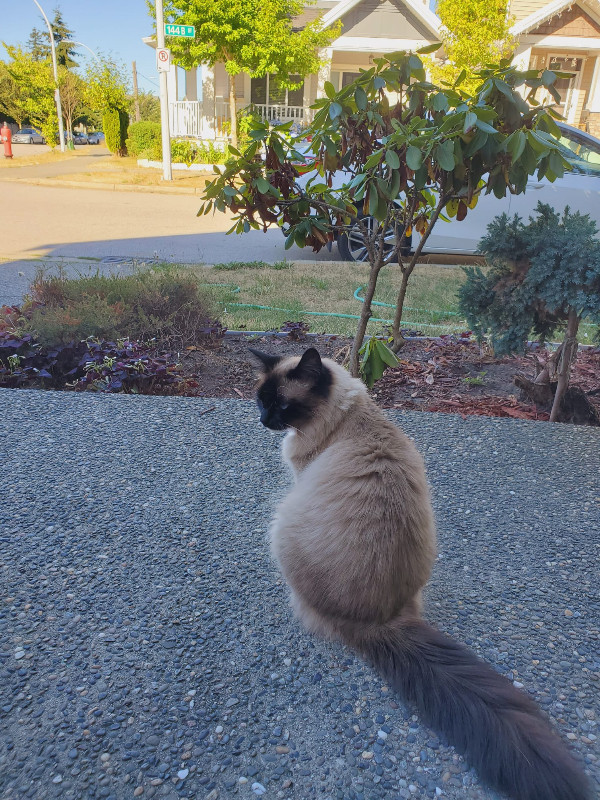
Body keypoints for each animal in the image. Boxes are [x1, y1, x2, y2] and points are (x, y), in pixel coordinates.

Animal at [248, 346, 592, 800]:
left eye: (282, 406)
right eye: (261, 401)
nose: (264, 421)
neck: (351, 417)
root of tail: (384, 621)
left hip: (280, 521)